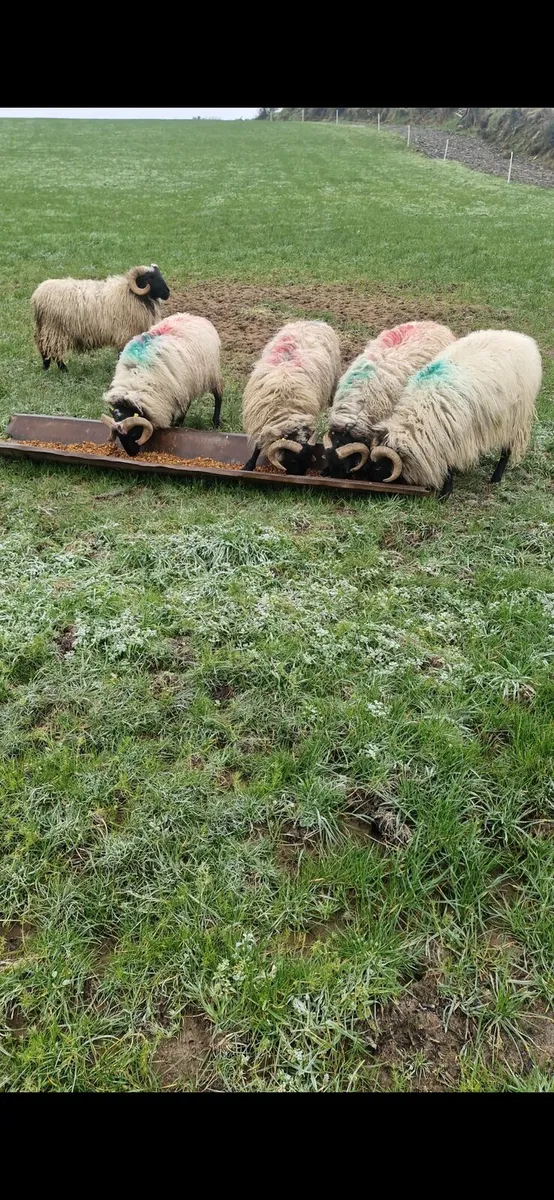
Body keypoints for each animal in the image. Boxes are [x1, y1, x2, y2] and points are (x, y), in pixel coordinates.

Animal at [31, 264, 170, 371]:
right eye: (149, 277)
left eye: (159, 275)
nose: (167, 293)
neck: (131, 294)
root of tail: (38, 295)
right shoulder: (124, 333)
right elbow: (122, 353)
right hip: (55, 330)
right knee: (53, 350)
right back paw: (63, 369)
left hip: (44, 328)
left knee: (43, 347)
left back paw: (46, 367)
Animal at [101, 312, 223, 456]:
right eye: (119, 437)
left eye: (133, 434)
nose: (132, 454)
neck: (135, 380)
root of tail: (195, 317)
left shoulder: (169, 395)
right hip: (186, 383)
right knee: (187, 402)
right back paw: (179, 422)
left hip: (211, 372)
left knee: (218, 395)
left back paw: (215, 422)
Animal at [241, 320, 341, 474]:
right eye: (293, 460)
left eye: (309, 460)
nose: (297, 476)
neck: (286, 406)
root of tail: (312, 321)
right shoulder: (262, 419)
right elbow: (258, 444)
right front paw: (248, 466)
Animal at [361, 329, 542, 497]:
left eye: (379, 466)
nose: (368, 486)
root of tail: (523, 340)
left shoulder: (454, 436)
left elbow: (449, 466)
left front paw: (445, 493)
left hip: (516, 417)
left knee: (507, 450)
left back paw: (496, 478)